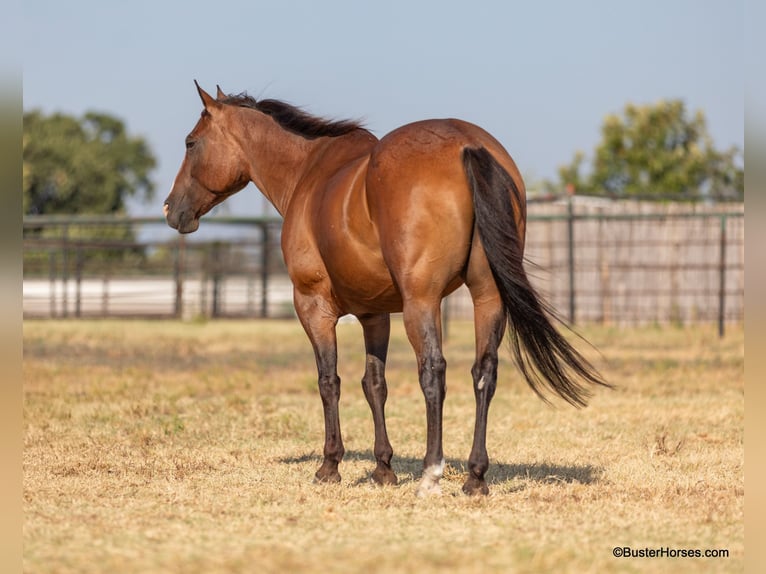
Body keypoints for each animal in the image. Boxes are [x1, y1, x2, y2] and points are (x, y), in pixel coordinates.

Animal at [164, 82, 610, 496]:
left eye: (191, 142)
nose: (171, 209)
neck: (309, 174)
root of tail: (469, 145)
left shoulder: (313, 306)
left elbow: (329, 381)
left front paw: (330, 466)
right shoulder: (374, 313)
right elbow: (374, 384)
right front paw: (383, 468)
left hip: (421, 302)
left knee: (433, 371)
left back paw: (431, 473)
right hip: (488, 297)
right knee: (484, 372)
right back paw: (475, 477)